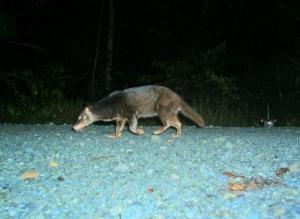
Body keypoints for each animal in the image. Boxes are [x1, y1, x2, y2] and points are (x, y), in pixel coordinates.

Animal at [72, 84, 204, 138]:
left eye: (81, 117)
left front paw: (139, 131)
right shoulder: (120, 117)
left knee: (168, 122)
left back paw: (159, 130)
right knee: (177, 123)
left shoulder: (130, 113)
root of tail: (178, 97)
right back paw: (177, 134)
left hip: (163, 108)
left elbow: (131, 127)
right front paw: (114, 135)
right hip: (171, 110)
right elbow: (118, 127)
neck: (109, 105)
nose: (73, 127)